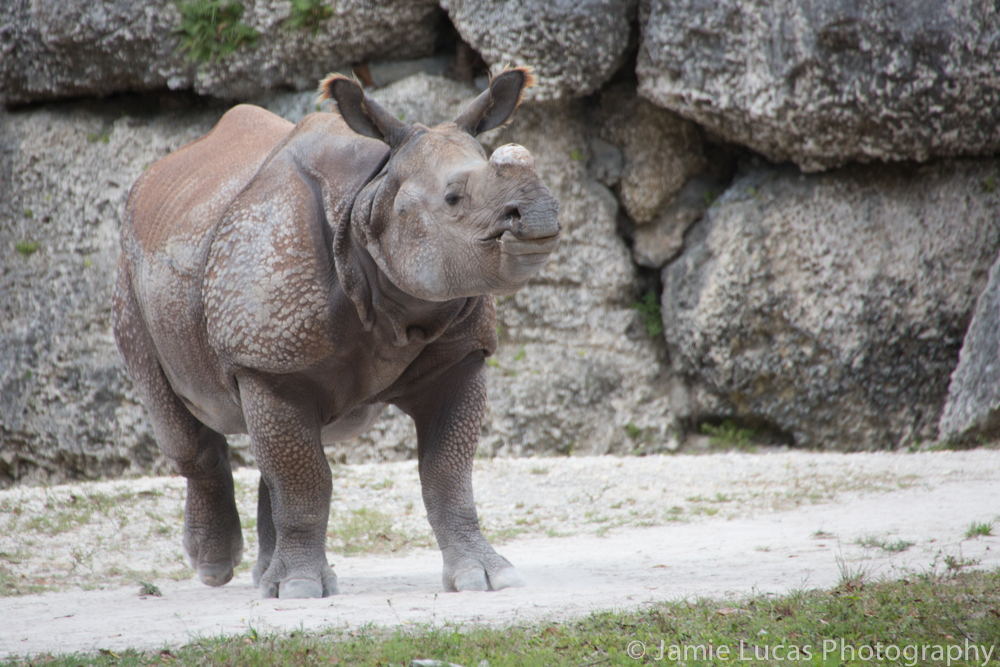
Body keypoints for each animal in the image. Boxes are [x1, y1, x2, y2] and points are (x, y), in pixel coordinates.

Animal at [112, 68, 560, 599]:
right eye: (453, 199)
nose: (538, 215)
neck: (372, 198)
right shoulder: (268, 360)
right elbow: (306, 481)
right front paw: (299, 590)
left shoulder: (461, 354)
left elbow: (446, 473)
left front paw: (484, 577)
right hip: (131, 272)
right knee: (187, 429)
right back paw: (216, 570)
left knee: (280, 449)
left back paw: (263, 576)